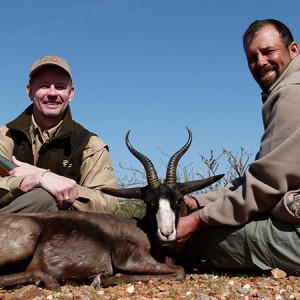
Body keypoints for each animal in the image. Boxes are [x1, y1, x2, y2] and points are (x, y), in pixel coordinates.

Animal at [0, 128, 223, 290]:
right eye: (149, 203)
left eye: (177, 200)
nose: (166, 233)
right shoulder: (131, 260)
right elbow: (179, 271)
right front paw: (101, 279)